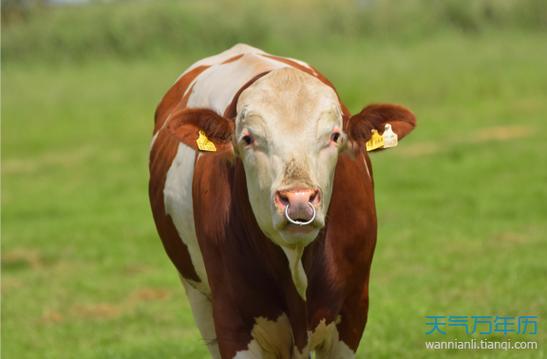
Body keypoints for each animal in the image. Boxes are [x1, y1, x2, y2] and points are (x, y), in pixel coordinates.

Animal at [149, 43, 416, 358]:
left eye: (334, 136)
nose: (298, 199)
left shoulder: (353, 312)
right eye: (248, 138)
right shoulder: (232, 322)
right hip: (198, 296)